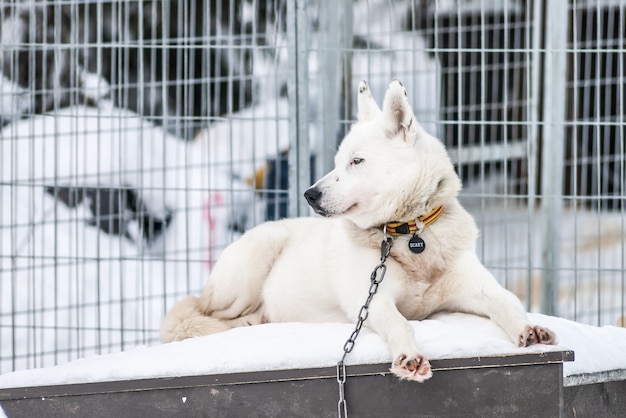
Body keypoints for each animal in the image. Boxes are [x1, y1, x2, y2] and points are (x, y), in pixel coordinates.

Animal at [162, 81, 556, 382]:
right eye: (337, 162)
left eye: (356, 161)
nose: (309, 194)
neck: (409, 235)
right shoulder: (370, 300)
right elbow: (400, 323)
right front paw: (409, 357)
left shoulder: (480, 288)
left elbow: (508, 302)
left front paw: (528, 330)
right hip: (253, 262)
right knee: (206, 317)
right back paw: (248, 321)